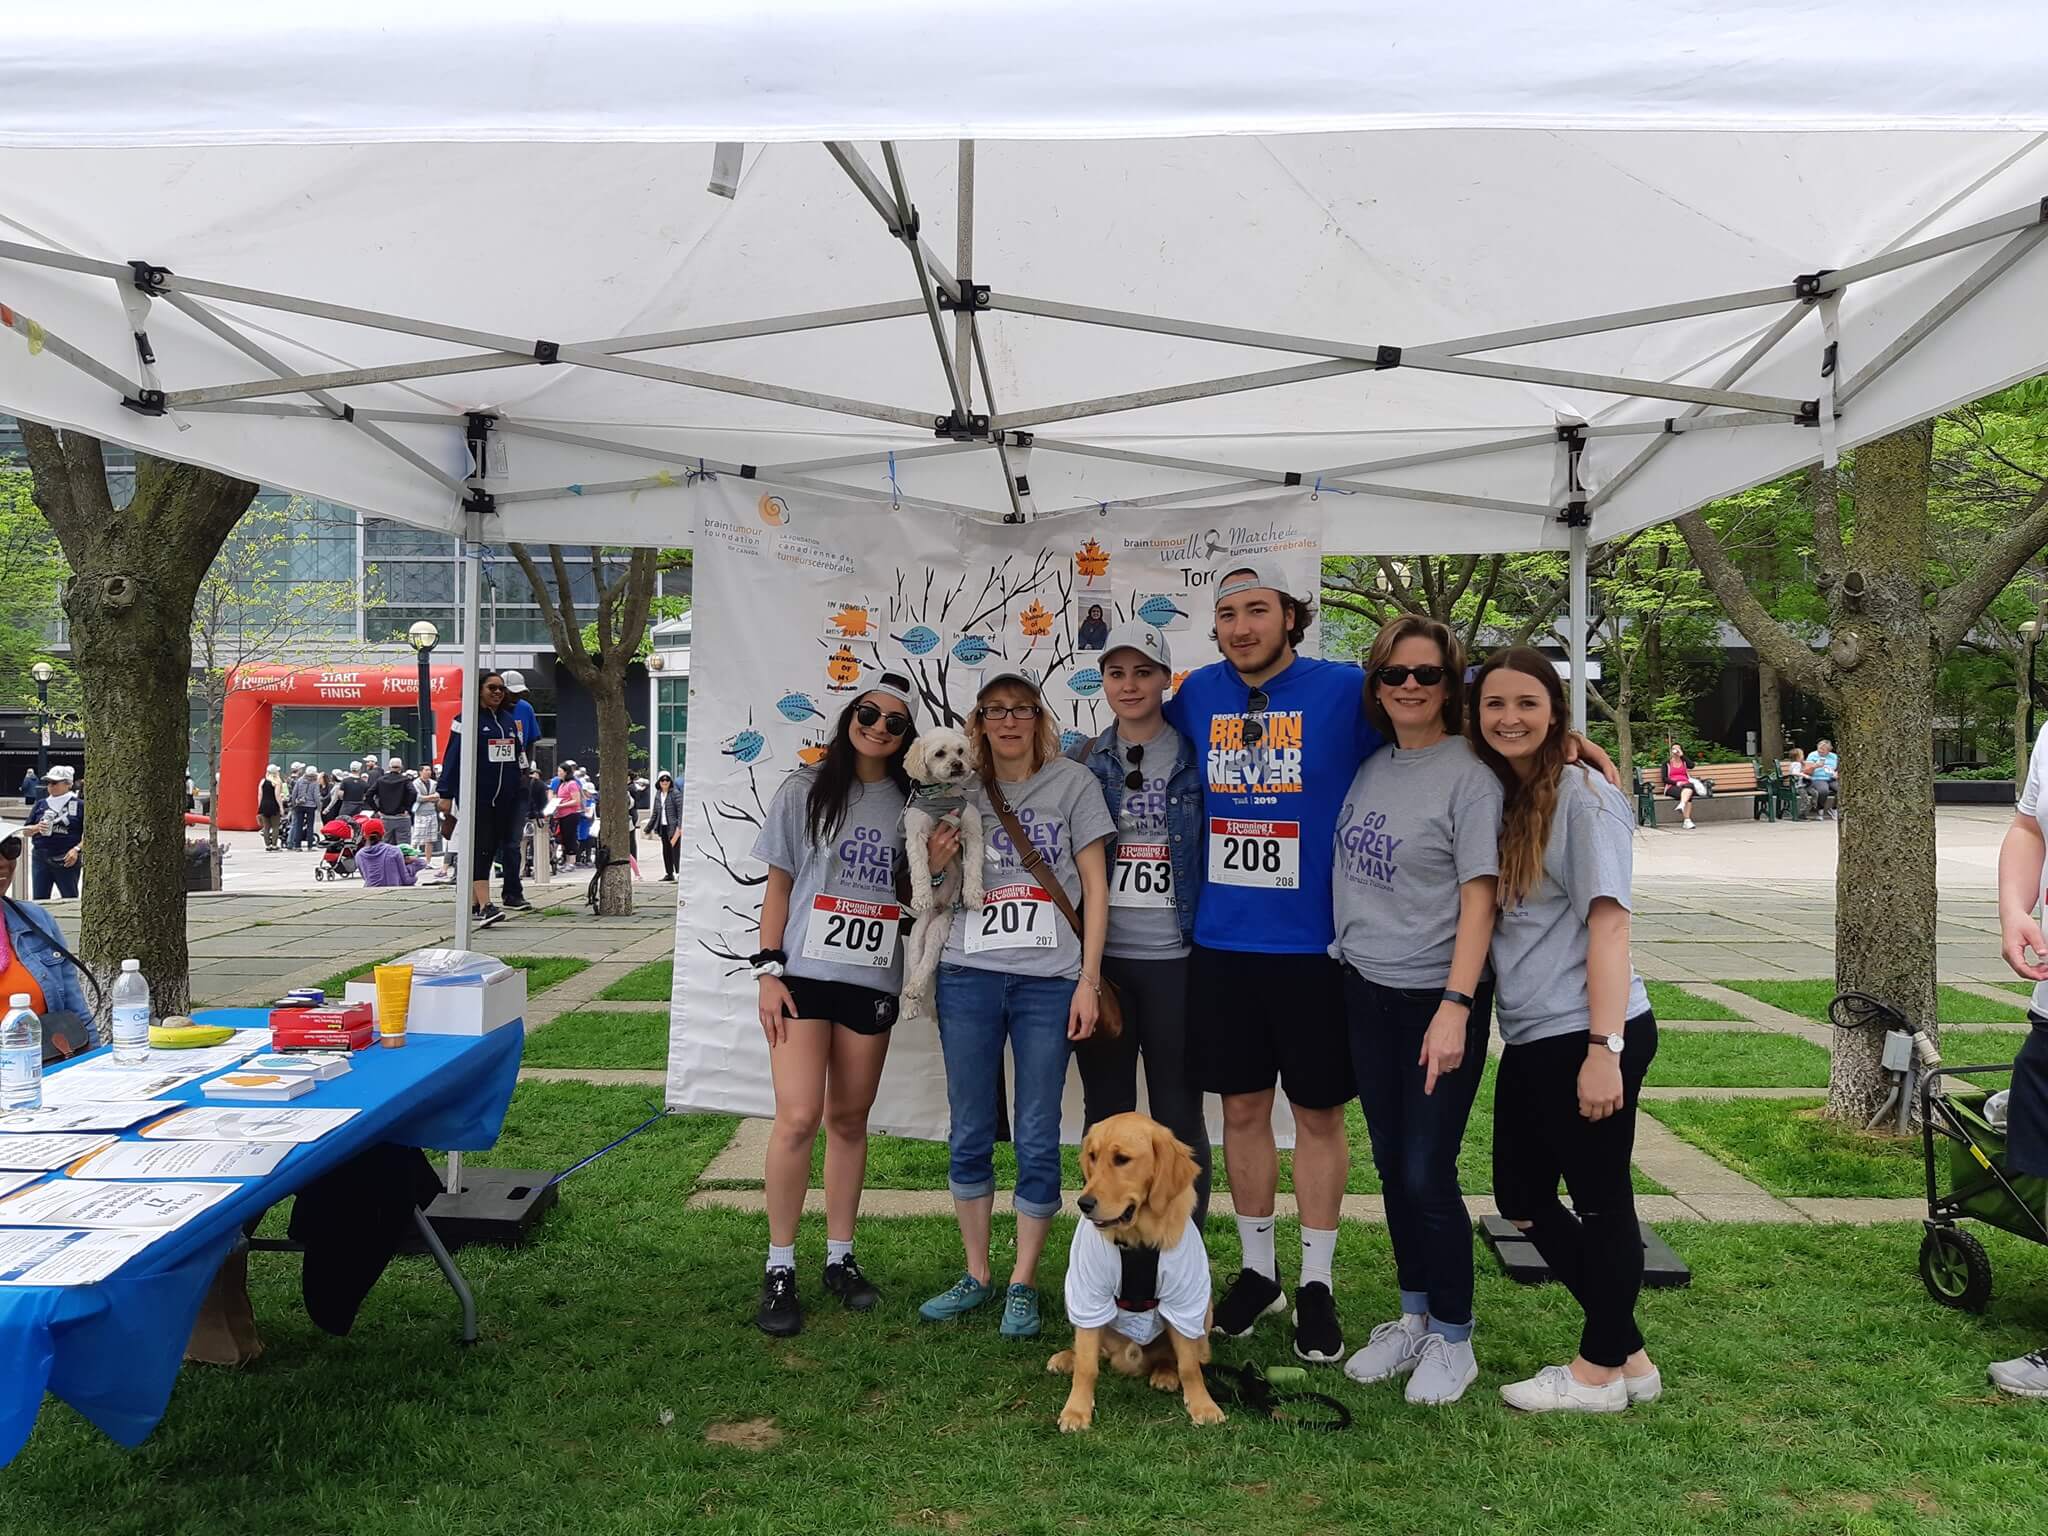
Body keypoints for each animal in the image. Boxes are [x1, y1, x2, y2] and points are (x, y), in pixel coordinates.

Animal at [905, 729, 983, 1024]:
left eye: (961, 751)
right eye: (940, 753)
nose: (958, 765)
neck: (943, 796)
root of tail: (939, 910)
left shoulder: (971, 831)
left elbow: (972, 866)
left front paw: (973, 895)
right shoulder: (916, 833)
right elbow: (919, 867)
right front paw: (921, 896)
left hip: (939, 928)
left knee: (928, 961)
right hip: (917, 934)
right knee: (918, 962)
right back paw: (911, 999)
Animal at [1048, 1114, 1220, 1441]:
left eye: (1122, 1159)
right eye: (1092, 1156)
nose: (1084, 1204)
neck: (1138, 1239)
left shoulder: (1184, 1301)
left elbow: (1189, 1365)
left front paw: (1203, 1405)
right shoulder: (1089, 1295)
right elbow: (1087, 1365)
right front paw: (1076, 1410)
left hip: (1204, 1309)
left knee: (1176, 1356)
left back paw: (1165, 1373)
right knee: (1091, 1349)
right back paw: (1067, 1358)